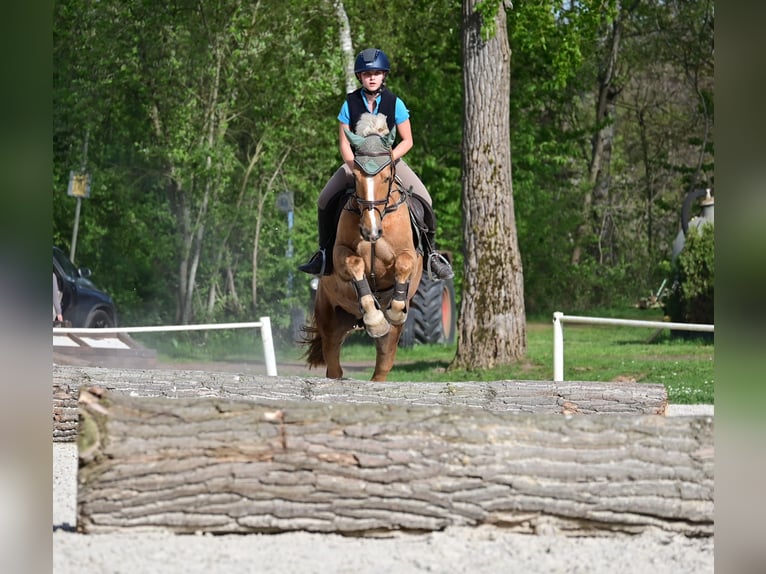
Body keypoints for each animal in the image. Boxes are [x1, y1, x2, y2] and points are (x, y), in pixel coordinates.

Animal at [304, 112, 426, 382]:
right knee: (333, 365)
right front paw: (374, 318)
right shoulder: (339, 255)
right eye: (357, 178)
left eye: (386, 177)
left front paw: (393, 310)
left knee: (382, 368)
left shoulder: (410, 255)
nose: (371, 231)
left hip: (390, 340)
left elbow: (403, 264)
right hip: (329, 317)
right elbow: (355, 263)